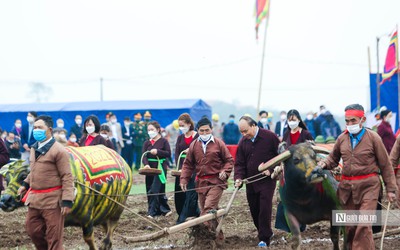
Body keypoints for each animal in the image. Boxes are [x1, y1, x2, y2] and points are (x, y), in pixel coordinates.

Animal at [0, 146, 133, 249]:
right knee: (107, 226)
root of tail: (125, 164)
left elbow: (89, 239)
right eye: (6, 179)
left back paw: (106, 243)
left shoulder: (87, 219)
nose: (5, 200)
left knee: (112, 225)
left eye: (23, 177)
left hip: (119, 206)